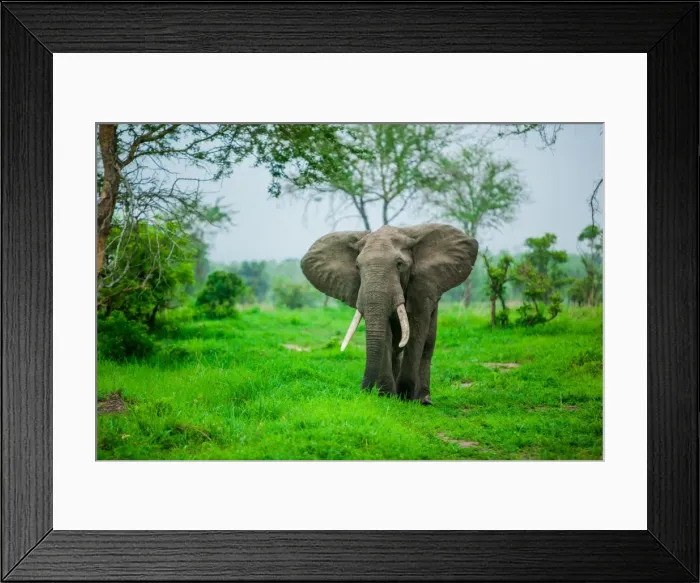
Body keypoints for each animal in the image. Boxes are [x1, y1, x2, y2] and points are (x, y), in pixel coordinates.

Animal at [300, 223, 478, 405]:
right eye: (357, 267)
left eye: (399, 264)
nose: (363, 392)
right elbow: (385, 334)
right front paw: (387, 396)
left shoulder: (422, 286)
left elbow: (416, 331)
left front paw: (405, 396)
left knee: (427, 346)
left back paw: (424, 400)